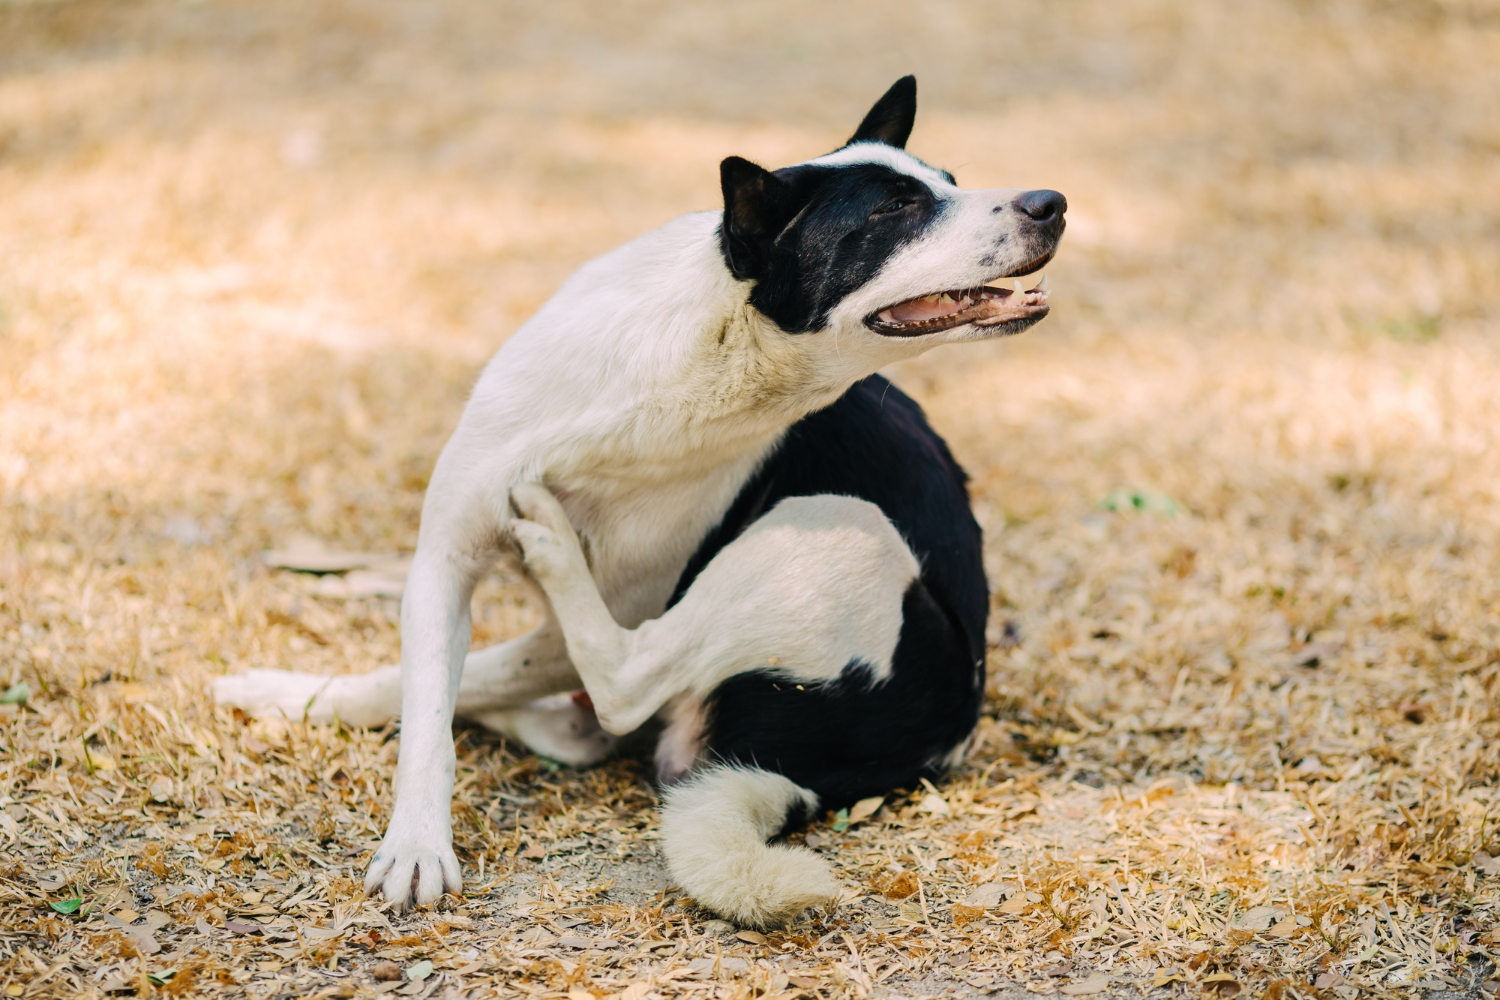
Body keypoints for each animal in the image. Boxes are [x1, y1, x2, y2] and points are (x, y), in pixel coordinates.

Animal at [217, 78, 1068, 929]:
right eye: (896, 208)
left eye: (947, 182)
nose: (1052, 202)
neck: (702, 357)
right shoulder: (445, 558)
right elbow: (427, 704)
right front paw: (406, 828)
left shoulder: (609, 607)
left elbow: (470, 681)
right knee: (568, 714)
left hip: (841, 527)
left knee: (622, 686)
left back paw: (550, 550)